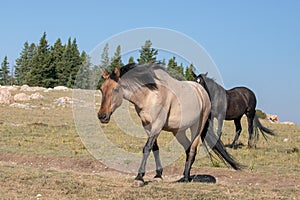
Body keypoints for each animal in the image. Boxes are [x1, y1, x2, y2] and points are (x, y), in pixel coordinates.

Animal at [98, 63, 241, 187]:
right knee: (187, 148)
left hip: (197, 128)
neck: (150, 95)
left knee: (192, 149)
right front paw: (158, 175)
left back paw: (185, 178)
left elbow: (147, 148)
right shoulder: (147, 126)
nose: (102, 116)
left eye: (116, 89)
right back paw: (186, 176)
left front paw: (139, 178)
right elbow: (154, 148)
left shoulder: (157, 125)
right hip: (178, 131)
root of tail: (202, 92)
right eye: (101, 89)